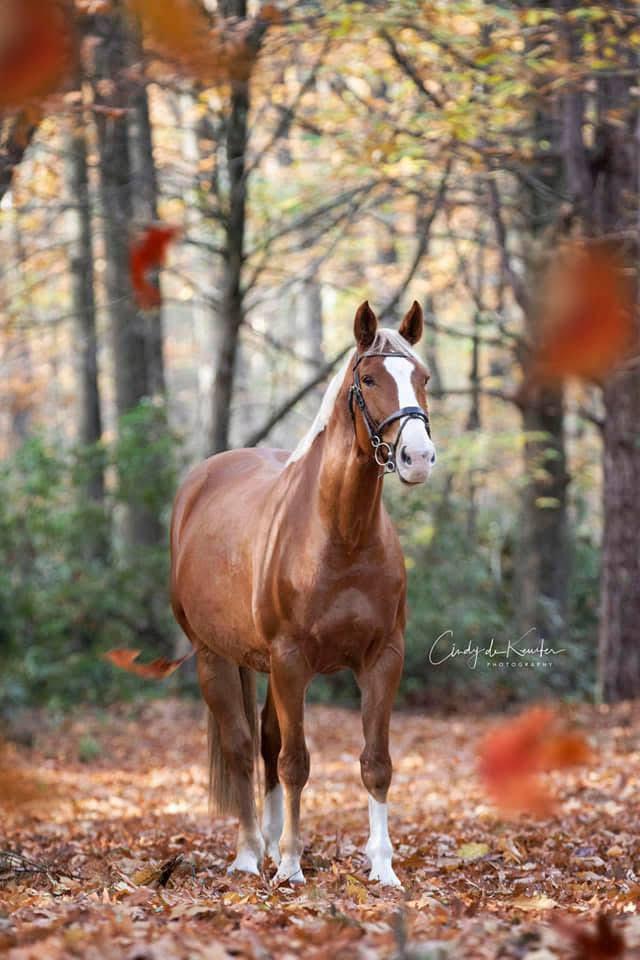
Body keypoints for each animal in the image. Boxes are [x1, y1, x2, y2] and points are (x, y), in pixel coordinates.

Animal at [170, 300, 436, 887]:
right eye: (368, 379)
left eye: (423, 378)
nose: (418, 457)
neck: (342, 535)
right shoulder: (292, 660)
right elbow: (295, 763)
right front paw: (291, 865)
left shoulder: (383, 659)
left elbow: (375, 763)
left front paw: (383, 867)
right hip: (214, 656)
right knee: (243, 748)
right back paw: (252, 854)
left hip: (264, 667)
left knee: (267, 740)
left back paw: (268, 843)